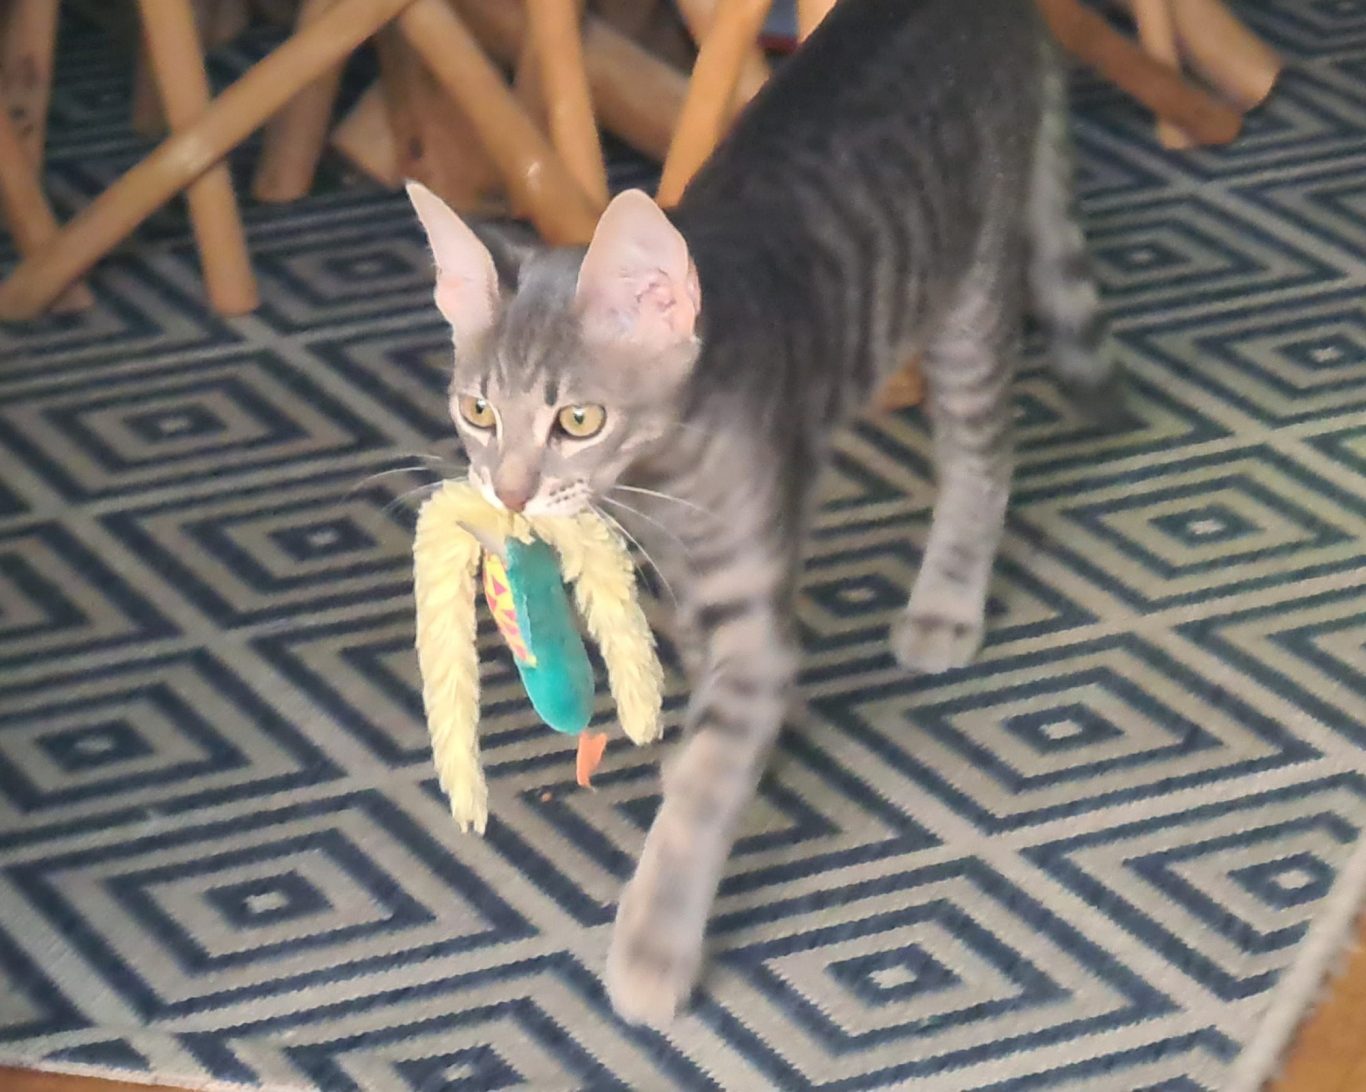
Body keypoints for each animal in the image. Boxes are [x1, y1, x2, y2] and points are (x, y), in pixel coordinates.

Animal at [406, 0, 1117, 1026]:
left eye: (579, 419)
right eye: (478, 411)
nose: (508, 490)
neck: (664, 475)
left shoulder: (749, 602)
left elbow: (703, 795)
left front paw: (654, 949)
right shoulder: (693, 577)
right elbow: (712, 682)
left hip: (970, 296)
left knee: (983, 457)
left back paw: (948, 601)